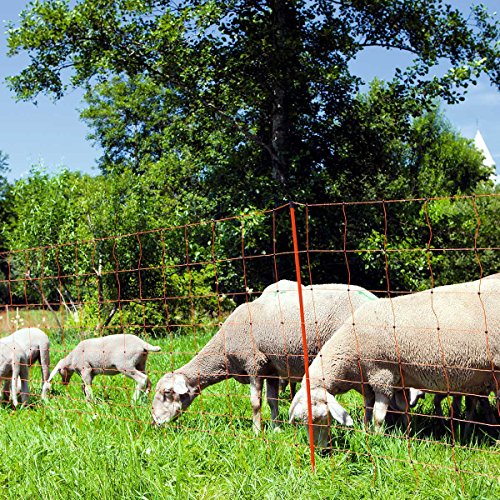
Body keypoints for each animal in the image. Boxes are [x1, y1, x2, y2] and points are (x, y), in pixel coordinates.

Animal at [150, 280, 376, 432]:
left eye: (167, 392)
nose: (154, 422)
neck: (224, 349)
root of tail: (374, 298)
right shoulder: (272, 370)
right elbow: (272, 401)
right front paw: (276, 428)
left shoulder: (255, 365)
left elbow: (255, 402)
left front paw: (257, 431)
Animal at [290, 276, 500, 448]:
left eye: (322, 418)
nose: (320, 450)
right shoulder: (381, 383)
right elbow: (381, 411)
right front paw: (389, 433)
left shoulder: (382, 375)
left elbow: (378, 416)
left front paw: (377, 438)